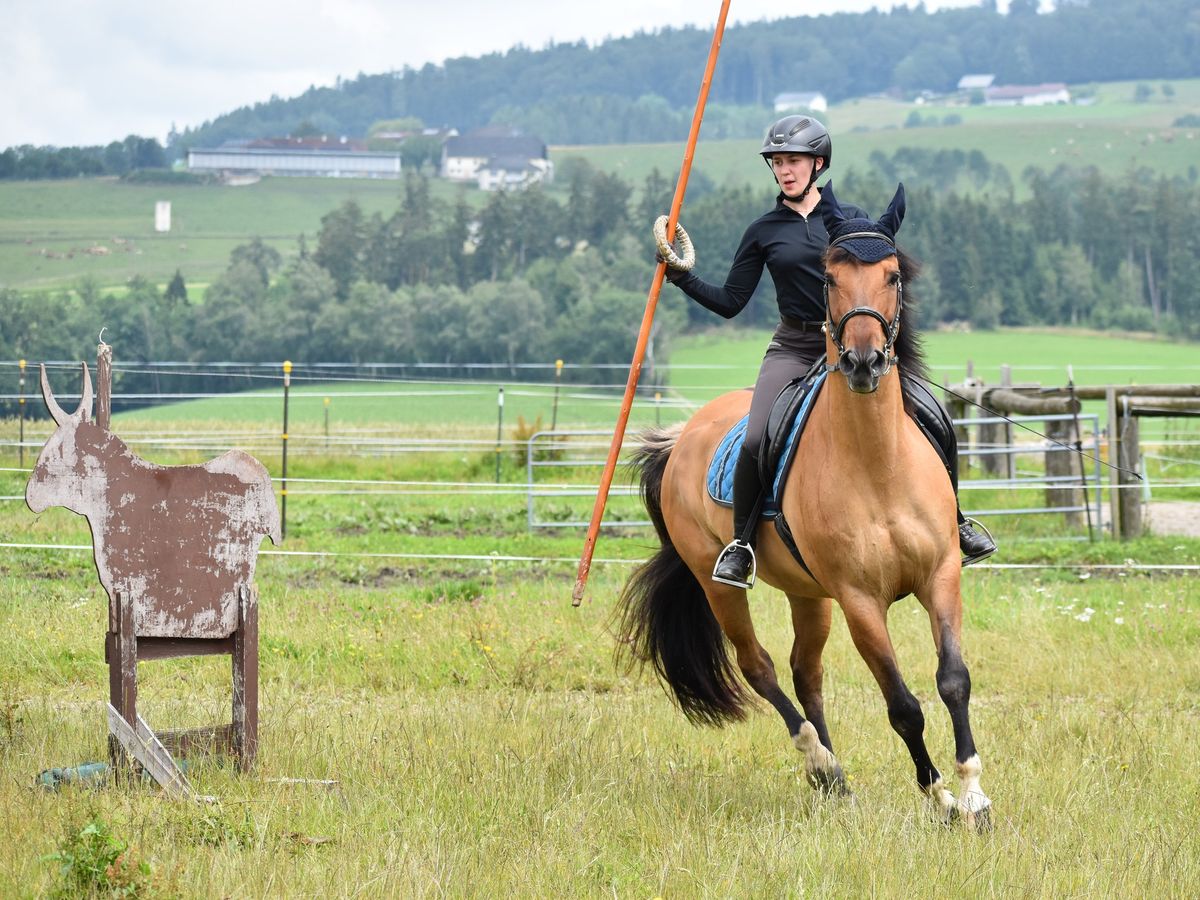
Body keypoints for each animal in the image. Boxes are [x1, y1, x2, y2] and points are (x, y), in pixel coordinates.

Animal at [614, 184, 988, 830]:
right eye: (830, 277)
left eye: (892, 275)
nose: (863, 363)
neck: (877, 465)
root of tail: (683, 436)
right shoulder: (860, 600)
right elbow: (903, 705)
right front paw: (938, 795)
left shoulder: (940, 574)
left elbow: (953, 681)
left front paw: (972, 795)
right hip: (719, 582)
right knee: (759, 666)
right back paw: (820, 763)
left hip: (808, 593)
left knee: (803, 670)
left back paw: (836, 780)